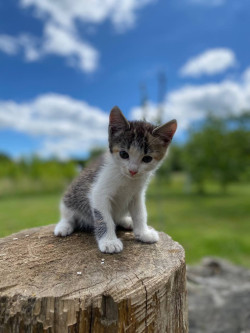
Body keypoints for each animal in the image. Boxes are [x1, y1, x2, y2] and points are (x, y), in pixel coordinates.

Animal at [53, 105, 177, 252]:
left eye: (147, 159)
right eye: (123, 154)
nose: (133, 170)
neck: (126, 179)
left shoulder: (137, 194)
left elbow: (140, 213)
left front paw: (143, 233)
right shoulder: (98, 192)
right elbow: (104, 218)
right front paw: (109, 242)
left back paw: (126, 221)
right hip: (70, 198)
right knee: (68, 216)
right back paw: (63, 226)